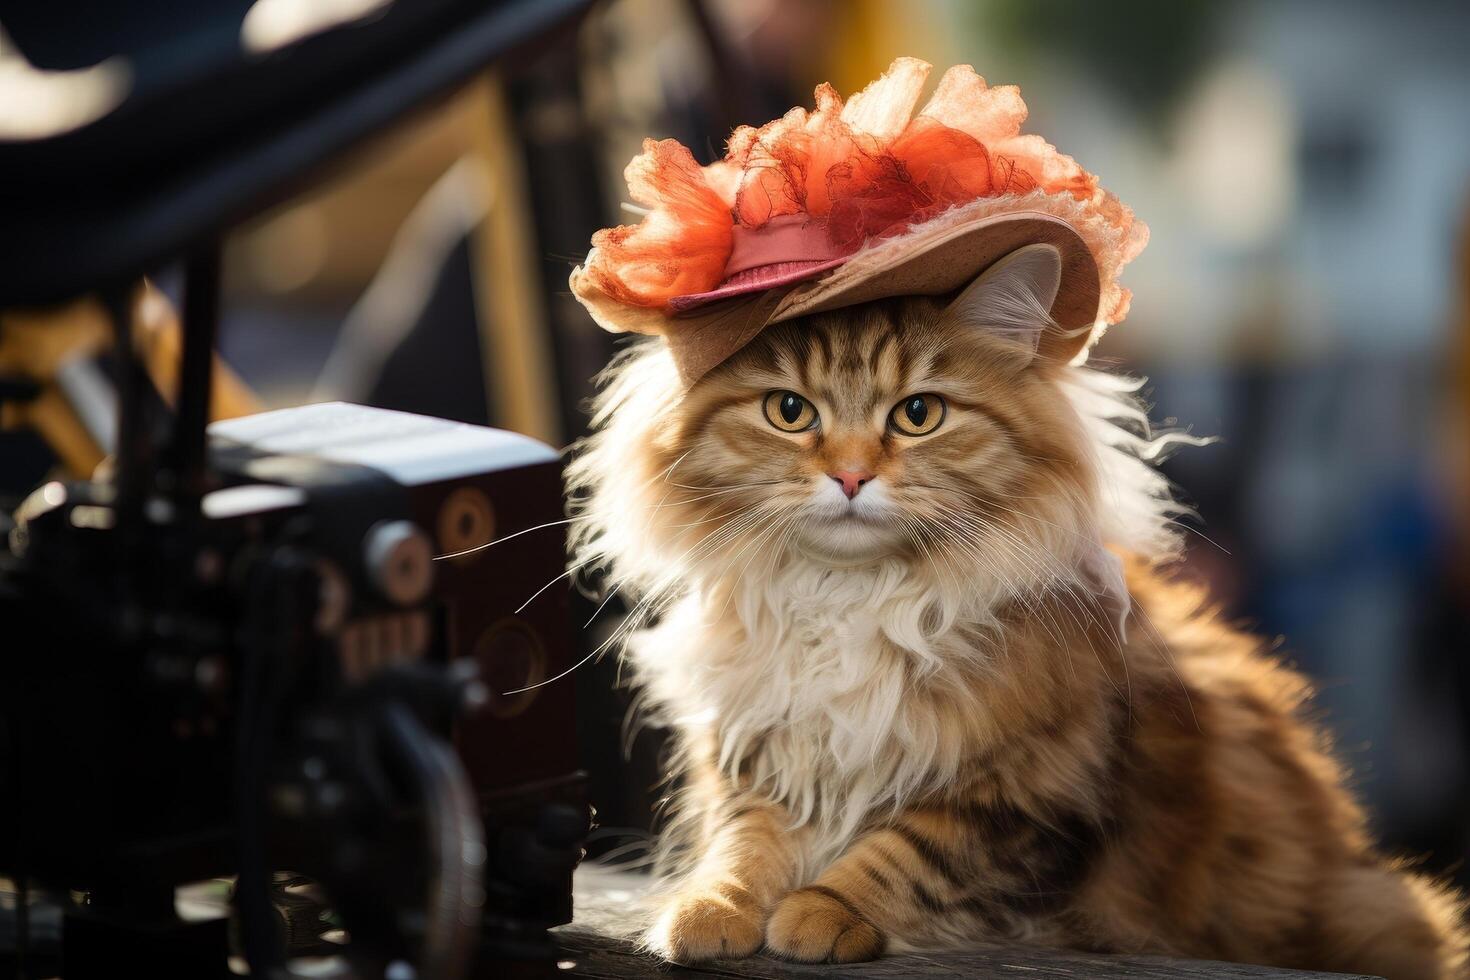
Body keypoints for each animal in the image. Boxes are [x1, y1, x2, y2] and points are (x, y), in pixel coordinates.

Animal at [564, 240, 1470, 975]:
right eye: (790, 411)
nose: (851, 476)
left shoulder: (1027, 792)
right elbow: (745, 842)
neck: (854, 597)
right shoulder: (756, 745)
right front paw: (710, 910)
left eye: (918, 414)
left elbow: (906, 854)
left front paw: (821, 912)